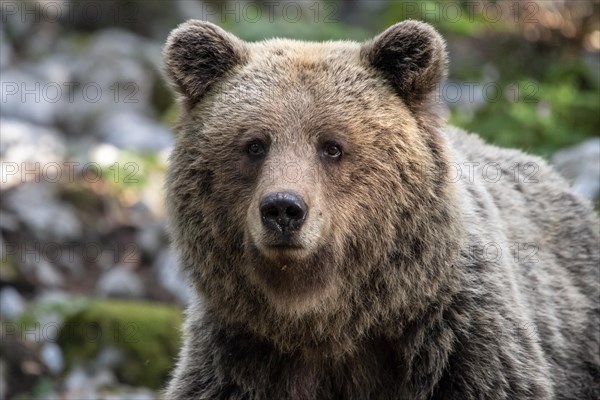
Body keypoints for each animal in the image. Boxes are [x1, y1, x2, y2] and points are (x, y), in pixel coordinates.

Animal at [162, 19, 596, 400]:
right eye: (254, 144)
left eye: (332, 146)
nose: (283, 209)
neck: (328, 324)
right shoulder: (237, 357)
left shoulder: (460, 342)